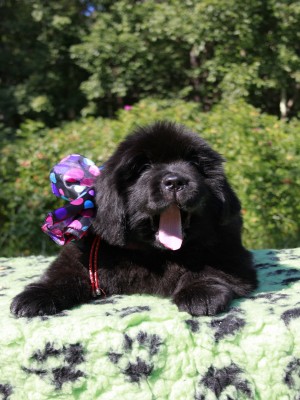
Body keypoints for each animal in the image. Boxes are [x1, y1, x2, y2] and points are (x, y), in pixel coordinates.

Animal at [10, 120, 256, 318]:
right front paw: (36, 296)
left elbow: (210, 268)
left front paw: (201, 293)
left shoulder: (228, 248)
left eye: (194, 164)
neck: (156, 253)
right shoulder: (81, 254)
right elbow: (62, 274)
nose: (175, 181)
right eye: (144, 167)